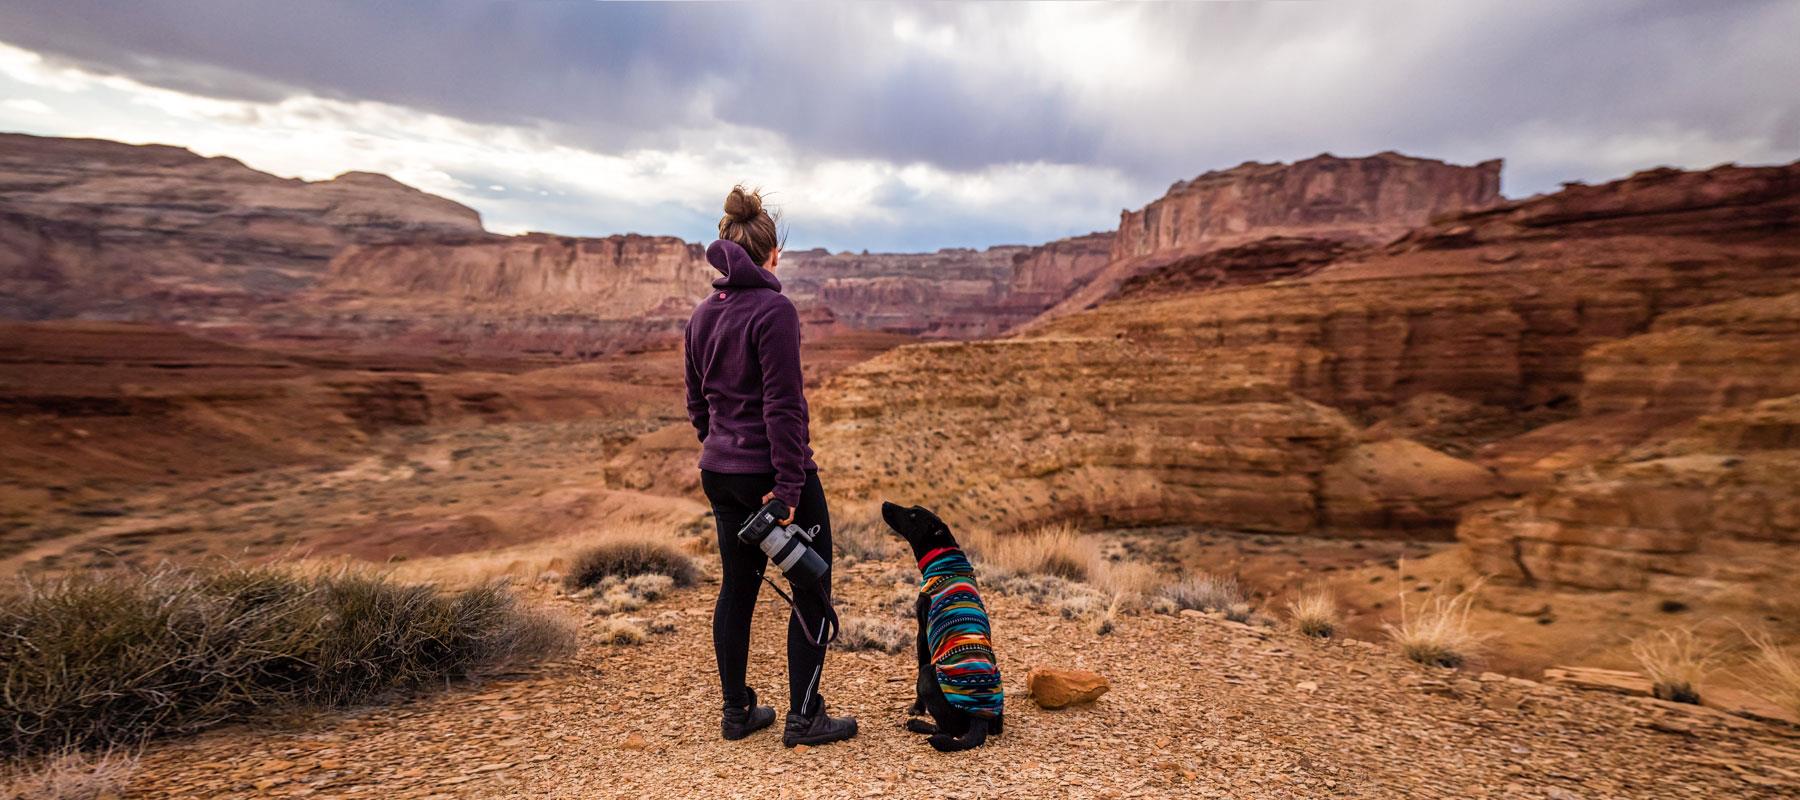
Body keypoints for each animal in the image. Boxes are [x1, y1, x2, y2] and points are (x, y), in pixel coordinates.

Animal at [878, 504, 1008, 753]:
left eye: (912, 514)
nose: (886, 503)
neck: (944, 561)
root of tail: (979, 716)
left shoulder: (922, 634)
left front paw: (916, 709)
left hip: (929, 676)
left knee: (945, 730)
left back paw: (916, 724)